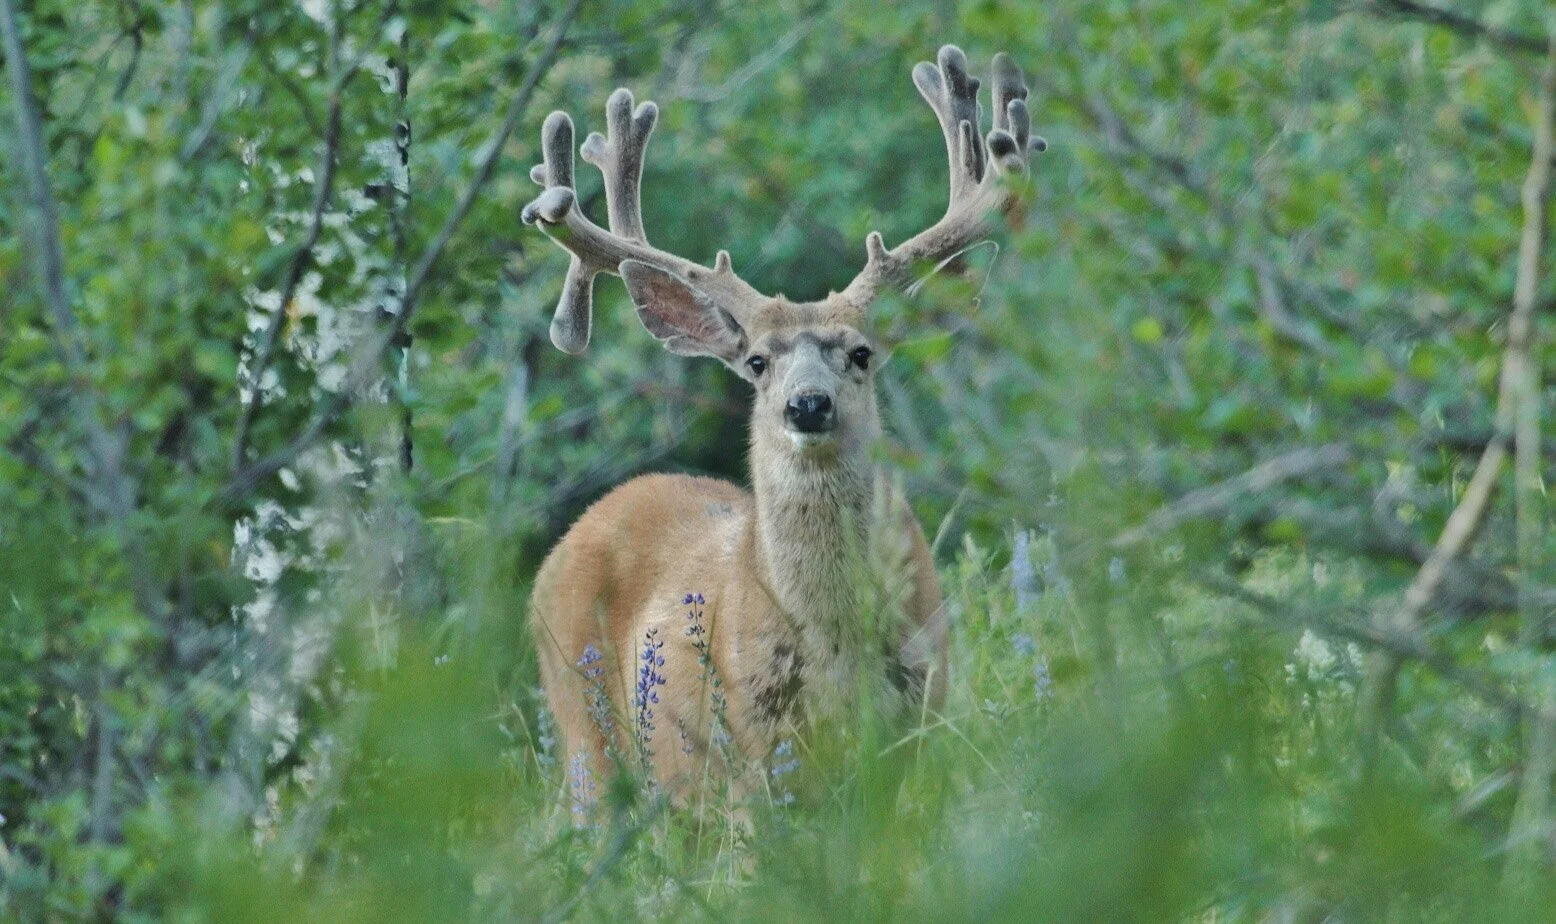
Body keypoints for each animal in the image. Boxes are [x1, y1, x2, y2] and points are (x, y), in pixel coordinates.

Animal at [521, 45, 1041, 809]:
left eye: (861, 353)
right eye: (759, 362)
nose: (808, 405)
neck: (838, 648)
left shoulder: (924, 724)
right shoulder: (752, 755)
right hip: (584, 732)